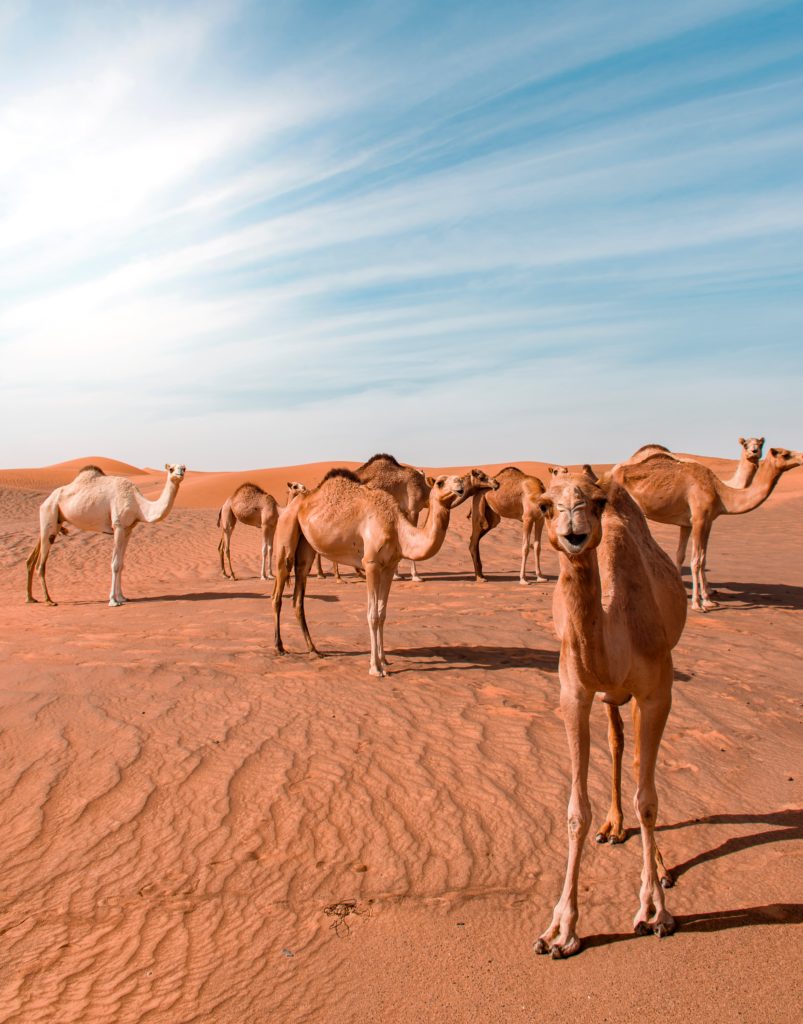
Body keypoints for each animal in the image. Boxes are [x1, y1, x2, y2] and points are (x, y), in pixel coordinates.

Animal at [25, 464, 185, 606]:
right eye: (171, 469)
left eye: (183, 467)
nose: (180, 473)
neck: (138, 504)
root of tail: (45, 501)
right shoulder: (118, 525)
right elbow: (115, 564)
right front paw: (113, 600)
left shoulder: (128, 529)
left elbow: (121, 564)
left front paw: (122, 597)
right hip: (50, 511)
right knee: (41, 564)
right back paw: (48, 600)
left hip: (55, 520)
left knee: (34, 553)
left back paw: (30, 598)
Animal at [270, 468, 495, 675]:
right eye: (440, 482)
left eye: (459, 479)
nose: (459, 485)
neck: (397, 529)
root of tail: (293, 505)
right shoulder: (371, 563)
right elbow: (372, 615)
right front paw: (375, 668)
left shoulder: (389, 566)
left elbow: (382, 613)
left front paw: (385, 660)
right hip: (285, 536)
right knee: (277, 593)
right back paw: (279, 647)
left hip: (306, 549)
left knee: (298, 597)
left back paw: (313, 650)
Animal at [528, 468, 688, 954]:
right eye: (546, 505)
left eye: (596, 503)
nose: (574, 532)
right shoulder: (574, 694)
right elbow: (576, 811)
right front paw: (560, 930)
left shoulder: (657, 691)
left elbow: (649, 799)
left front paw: (654, 911)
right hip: (609, 697)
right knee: (617, 743)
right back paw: (614, 827)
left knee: (636, 765)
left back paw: (659, 866)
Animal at [610, 446, 798, 610]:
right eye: (785, 454)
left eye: (760, 443)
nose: (801, 457)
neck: (720, 492)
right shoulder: (699, 518)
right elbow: (696, 561)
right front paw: (697, 603)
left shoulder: (696, 522)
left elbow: (693, 557)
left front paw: (705, 599)